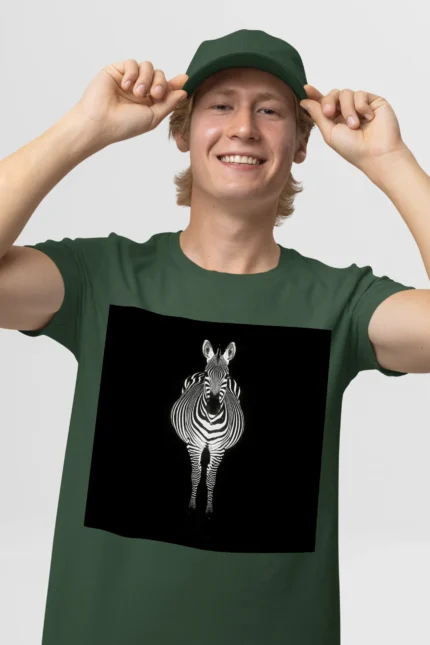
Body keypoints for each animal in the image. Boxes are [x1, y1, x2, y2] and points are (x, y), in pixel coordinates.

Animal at [170, 339, 245, 516]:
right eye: (207, 375)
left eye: (226, 376)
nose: (212, 408)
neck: (211, 420)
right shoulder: (195, 445)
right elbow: (196, 475)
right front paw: (192, 505)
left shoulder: (218, 449)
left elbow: (211, 478)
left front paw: (209, 508)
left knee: (209, 469)